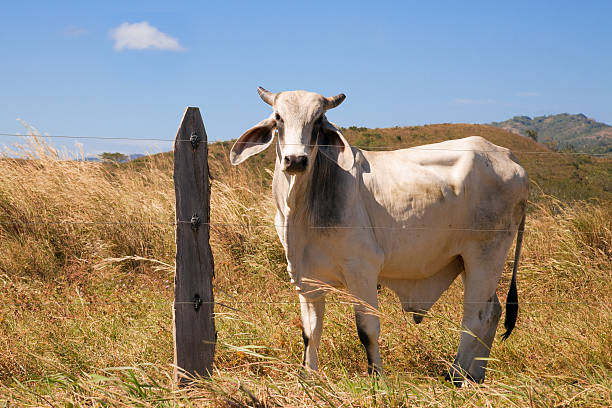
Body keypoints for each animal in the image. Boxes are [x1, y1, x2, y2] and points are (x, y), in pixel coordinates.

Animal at [232, 87, 528, 386]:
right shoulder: (304, 277)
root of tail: (508, 156)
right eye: (278, 118)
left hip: (485, 254)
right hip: (467, 259)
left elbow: (367, 329)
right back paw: (475, 375)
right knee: (493, 311)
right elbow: (310, 331)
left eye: (318, 120)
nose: (295, 160)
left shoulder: (361, 270)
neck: (301, 209)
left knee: (476, 316)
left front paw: (377, 377)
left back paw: (456, 376)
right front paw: (309, 376)